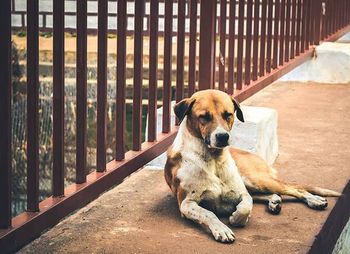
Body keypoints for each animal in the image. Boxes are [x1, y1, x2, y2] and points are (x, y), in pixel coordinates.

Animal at [165, 89, 342, 242]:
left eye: (228, 115)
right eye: (204, 117)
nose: (223, 136)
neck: (214, 160)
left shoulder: (242, 193)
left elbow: (246, 206)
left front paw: (237, 218)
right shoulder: (186, 204)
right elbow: (209, 214)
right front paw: (222, 229)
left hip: (256, 180)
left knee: (294, 189)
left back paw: (314, 200)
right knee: (275, 193)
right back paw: (275, 202)